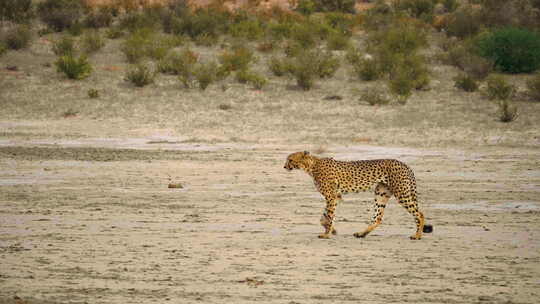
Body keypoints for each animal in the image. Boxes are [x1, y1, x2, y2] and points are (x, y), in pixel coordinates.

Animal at [284, 151, 432, 240]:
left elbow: (329, 215)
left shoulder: (331, 196)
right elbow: (324, 216)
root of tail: (404, 164)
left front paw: (327, 234)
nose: (284, 166)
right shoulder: (336, 196)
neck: (312, 165)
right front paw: (331, 230)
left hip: (401, 193)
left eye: (290, 159)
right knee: (378, 218)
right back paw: (362, 233)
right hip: (381, 193)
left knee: (419, 214)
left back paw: (417, 235)